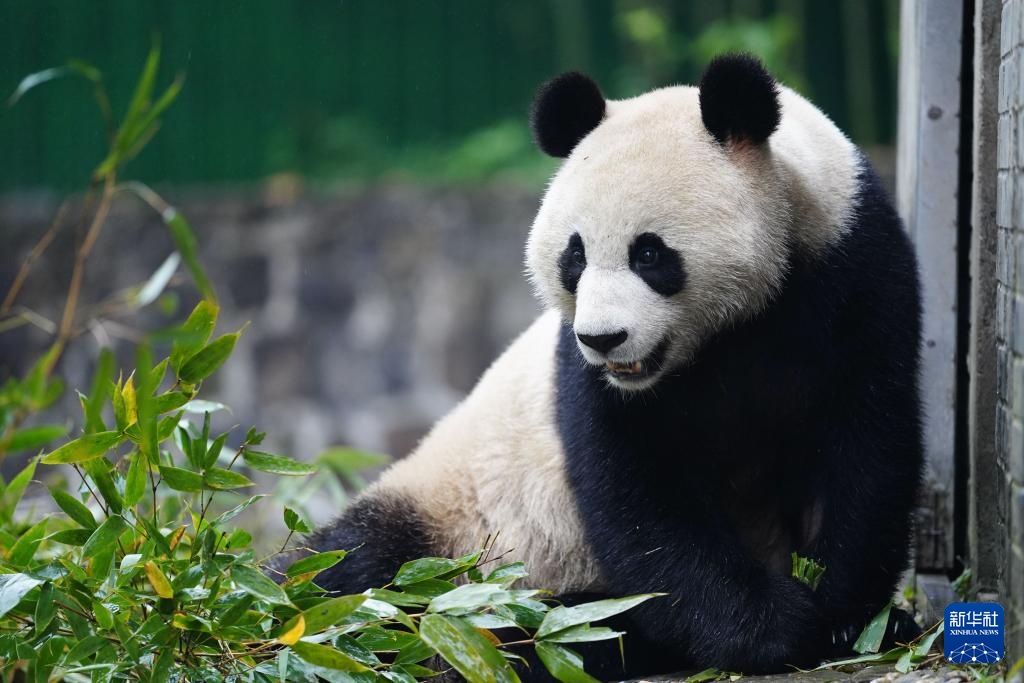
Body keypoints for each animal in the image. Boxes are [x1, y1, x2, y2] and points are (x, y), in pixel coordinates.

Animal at [301, 54, 921, 679]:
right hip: (451, 512)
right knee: (352, 567)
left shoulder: (854, 278)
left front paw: (848, 617)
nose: (603, 339)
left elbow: (865, 446)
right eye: (574, 256)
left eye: (649, 253)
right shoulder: (583, 377)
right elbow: (636, 495)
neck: (735, 327)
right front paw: (775, 626)